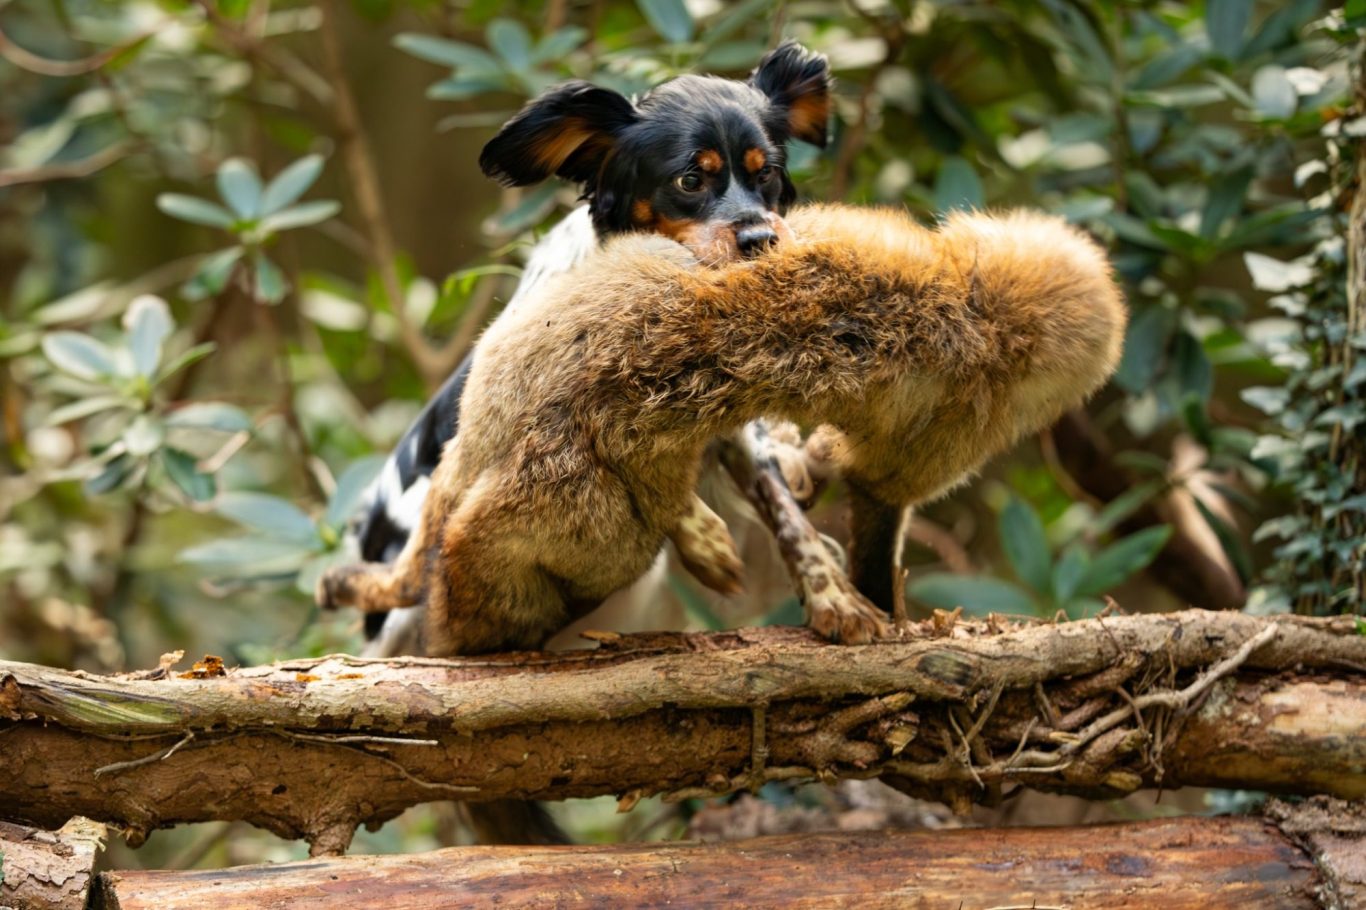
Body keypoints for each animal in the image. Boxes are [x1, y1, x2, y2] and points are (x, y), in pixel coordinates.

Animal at [322, 200, 1131, 653]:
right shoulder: (955, 423)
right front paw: (877, 602)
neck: (965, 297)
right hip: (577, 523)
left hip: (507, 384)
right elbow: (875, 496)